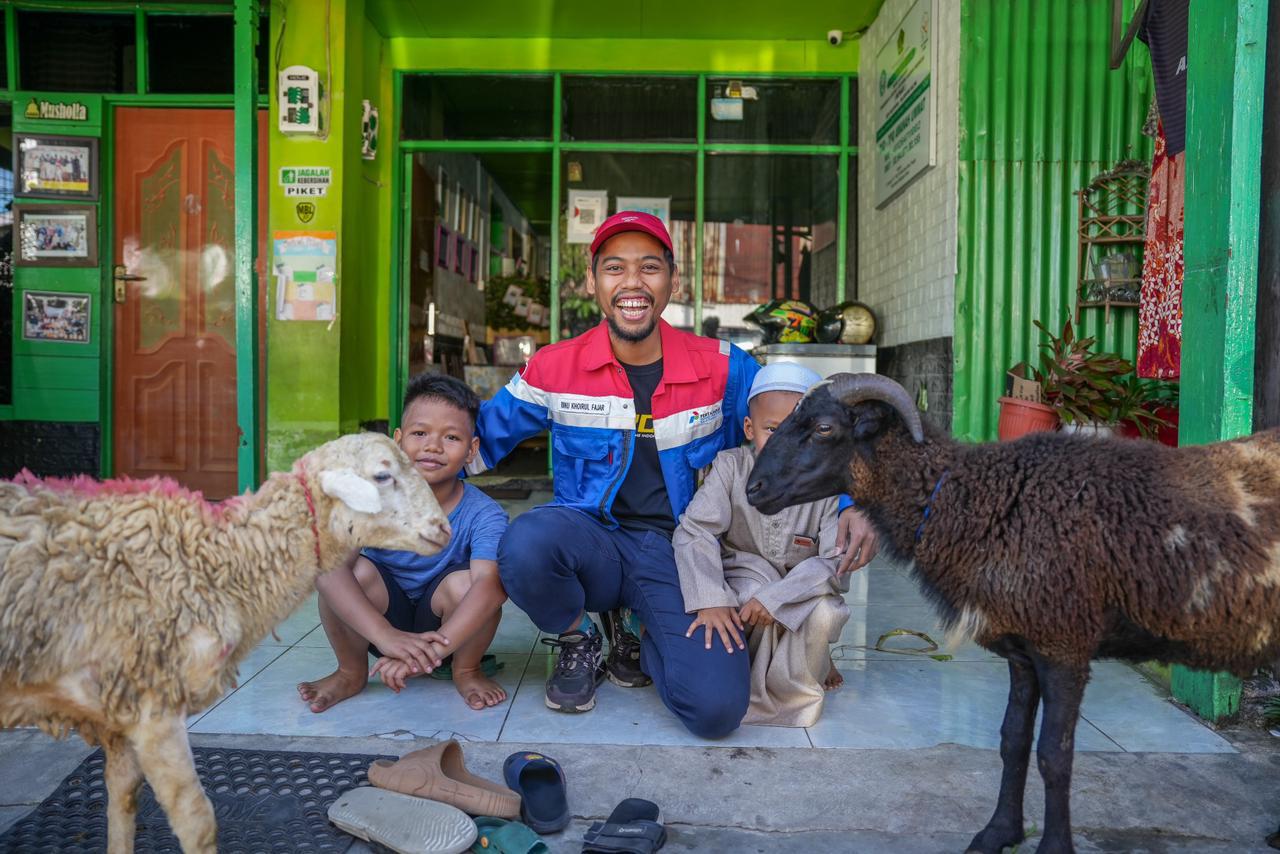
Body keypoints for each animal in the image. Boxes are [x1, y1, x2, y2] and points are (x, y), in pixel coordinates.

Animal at [0, 435, 450, 854]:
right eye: (382, 475)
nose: (443, 528)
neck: (213, 561)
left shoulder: (119, 705)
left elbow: (123, 800)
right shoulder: (154, 705)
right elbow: (197, 820)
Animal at [747, 373, 1280, 854]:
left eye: (823, 428)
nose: (754, 488)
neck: (969, 498)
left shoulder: (1063, 644)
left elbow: (1054, 755)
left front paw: (1053, 847)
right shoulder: (1023, 650)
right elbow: (1013, 741)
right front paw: (997, 834)